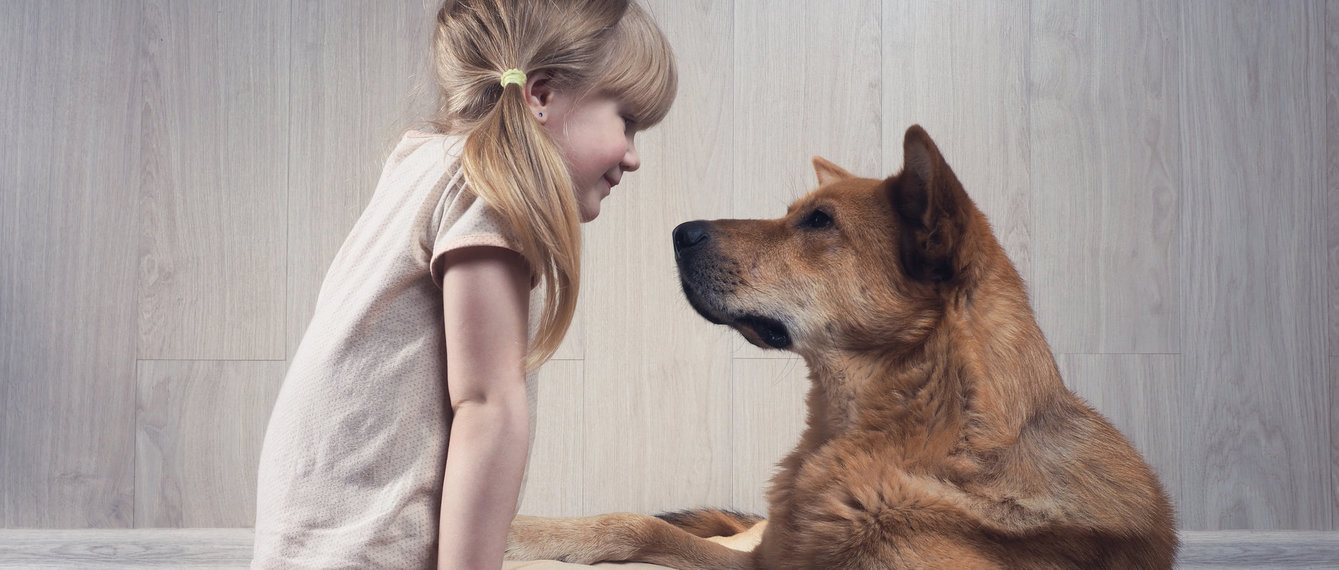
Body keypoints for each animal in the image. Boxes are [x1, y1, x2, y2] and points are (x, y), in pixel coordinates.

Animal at [506, 125, 1178, 570]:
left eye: (819, 222)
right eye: (796, 214)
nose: (679, 232)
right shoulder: (760, 561)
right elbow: (637, 525)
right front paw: (529, 531)